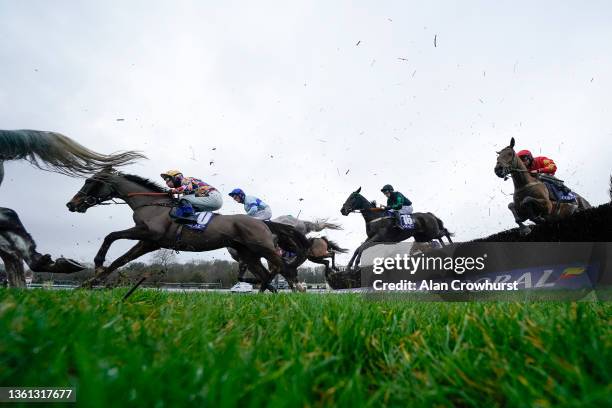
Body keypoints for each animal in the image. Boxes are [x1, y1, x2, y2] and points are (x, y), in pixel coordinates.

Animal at [65, 170, 310, 294]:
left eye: (90, 182)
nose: (71, 204)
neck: (151, 205)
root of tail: (265, 223)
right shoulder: (148, 242)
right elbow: (119, 261)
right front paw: (86, 284)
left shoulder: (147, 233)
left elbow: (112, 235)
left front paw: (97, 263)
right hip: (248, 253)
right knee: (266, 274)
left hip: (263, 247)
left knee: (284, 268)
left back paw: (295, 292)